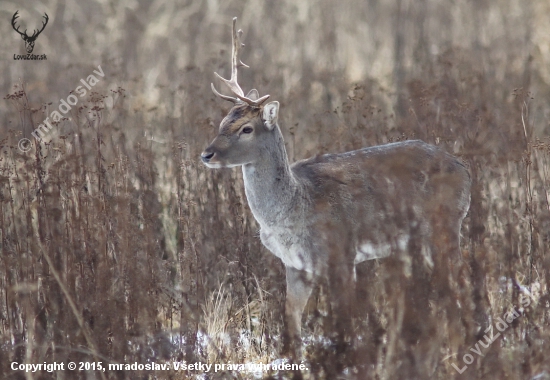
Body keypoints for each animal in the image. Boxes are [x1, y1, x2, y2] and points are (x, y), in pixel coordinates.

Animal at [201, 17, 472, 354]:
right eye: (223, 122)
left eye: (246, 128)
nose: (206, 154)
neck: (291, 209)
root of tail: (465, 170)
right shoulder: (294, 264)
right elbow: (291, 322)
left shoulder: (341, 252)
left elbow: (346, 319)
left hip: (444, 225)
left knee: (460, 283)